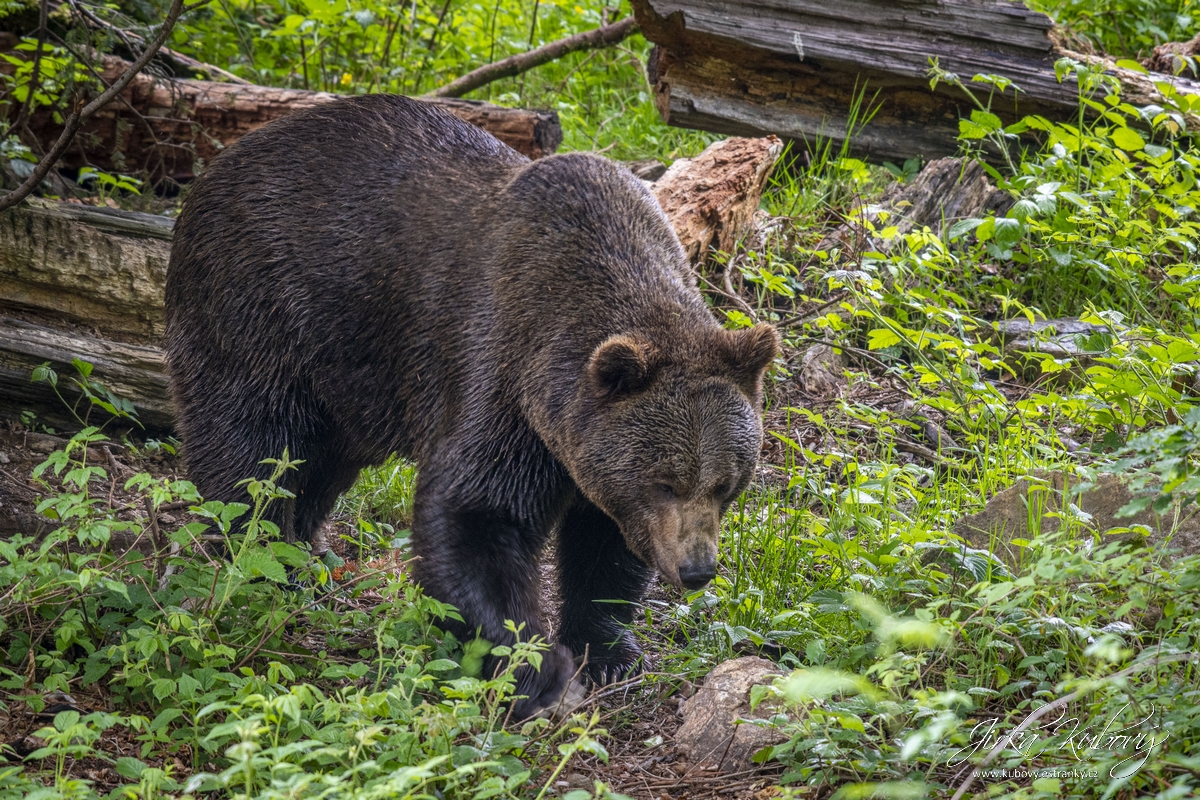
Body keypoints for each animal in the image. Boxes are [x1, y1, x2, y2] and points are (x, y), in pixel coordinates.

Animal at [166, 94, 777, 719]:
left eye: (727, 484)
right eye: (666, 483)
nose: (697, 568)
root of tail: (217, 167)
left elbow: (603, 544)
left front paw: (607, 651)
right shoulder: (504, 372)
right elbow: (476, 512)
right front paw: (533, 667)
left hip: (350, 378)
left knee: (322, 462)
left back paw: (306, 558)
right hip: (259, 306)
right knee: (253, 448)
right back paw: (264, 563)